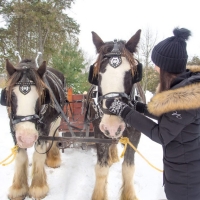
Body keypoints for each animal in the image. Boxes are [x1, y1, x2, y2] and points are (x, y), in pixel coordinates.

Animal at [0, 57, 65, 198]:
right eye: (11, 96)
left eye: (42, 96)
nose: (27, 138)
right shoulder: (14, 128)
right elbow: (21, 157)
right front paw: (18, 188)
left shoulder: (44, 127)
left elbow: (38, 154)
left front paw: (38, 187)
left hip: (57, 118)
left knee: (54, 135)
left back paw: (53, 158)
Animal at [88, 29, 145, 200]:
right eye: (98, 75)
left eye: (132, 74)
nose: (112, 126)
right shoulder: (99, 131)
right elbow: (101, 168)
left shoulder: (135, 133)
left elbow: (128, 168)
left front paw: (129, 195)